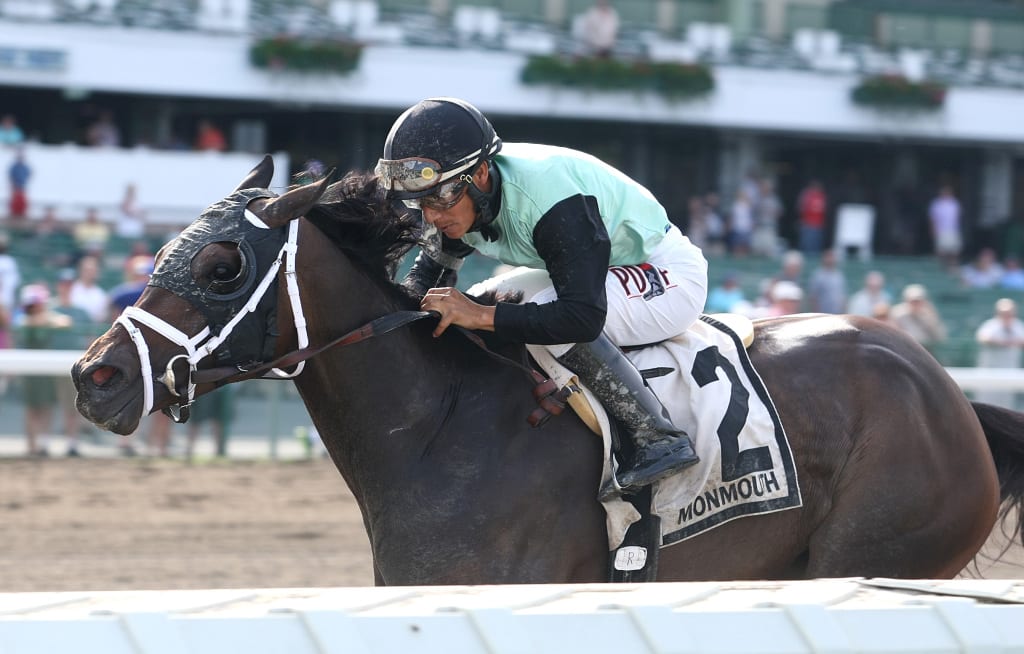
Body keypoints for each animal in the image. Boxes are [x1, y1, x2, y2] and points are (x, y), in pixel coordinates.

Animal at [72, 155, 1024, 585]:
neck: (440, 430)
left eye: (223, 265)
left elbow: (576, 315)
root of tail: (952, 399)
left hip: (879, 554)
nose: (95, 377)